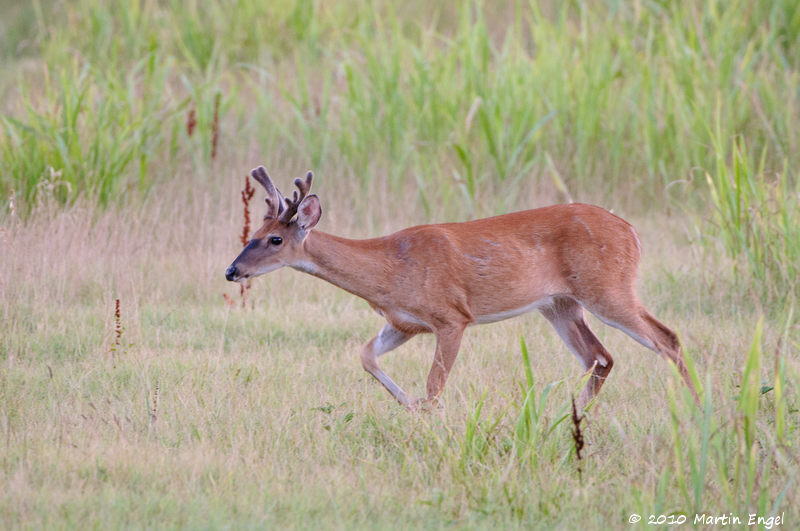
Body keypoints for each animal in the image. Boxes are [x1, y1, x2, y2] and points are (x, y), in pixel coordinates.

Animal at [225, 168, 700, 410]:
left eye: (275, 239)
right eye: (254, 232)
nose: (232, 271)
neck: (388, 268)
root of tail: (631, 231)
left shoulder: (452, 317)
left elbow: (436, 383)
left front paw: (426, 415)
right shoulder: (404, 322)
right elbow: (365, 356)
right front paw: (410, 405)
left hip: (606, 287)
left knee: (666, 337)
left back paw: (698, 405)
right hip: (560, 304)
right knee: (600, 356)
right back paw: (570, 415)